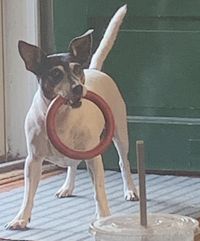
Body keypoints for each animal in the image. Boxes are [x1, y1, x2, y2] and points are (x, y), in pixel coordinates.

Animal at [6, 4, 138, 230]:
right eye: (55, 74)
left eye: (77, 69)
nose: (78, 87)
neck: (61, 118)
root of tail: (94, 69)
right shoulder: (33, 160)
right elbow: (28, 194)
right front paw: (21, 218)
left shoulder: (94, 157)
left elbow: (99, 191)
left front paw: (104, 217)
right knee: (72, 165)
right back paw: (67, 186)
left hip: (120, 134)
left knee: (123, 162)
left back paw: (130, 190)